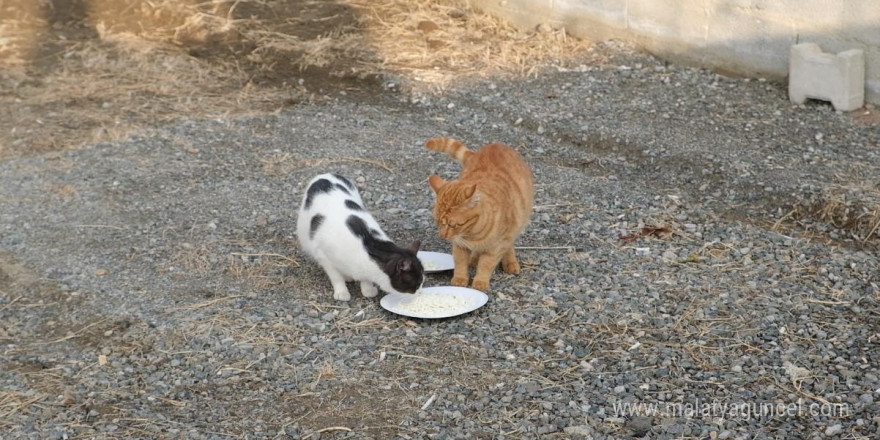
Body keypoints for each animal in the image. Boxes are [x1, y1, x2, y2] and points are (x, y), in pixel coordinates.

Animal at [294, 174, 424, 300]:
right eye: (417, 284)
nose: (420, 293)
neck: (367, 245)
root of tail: (324, 175)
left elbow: (365, 280)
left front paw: (367, 289)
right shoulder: (323, 256)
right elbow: (336, 277)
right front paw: (342, 292)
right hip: (304, 232)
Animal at [422, 136, 532, 290]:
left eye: (452, 224)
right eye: (437, 222)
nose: (442, 236)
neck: (472, 234)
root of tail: (494, 145)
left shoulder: (496, 246)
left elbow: (486, 265)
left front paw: (480, 282)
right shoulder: (459, 245)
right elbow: (460, 263)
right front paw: (460, 279)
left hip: (516, 224)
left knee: (509, 245)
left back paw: (510, 262)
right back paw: (474, 259)